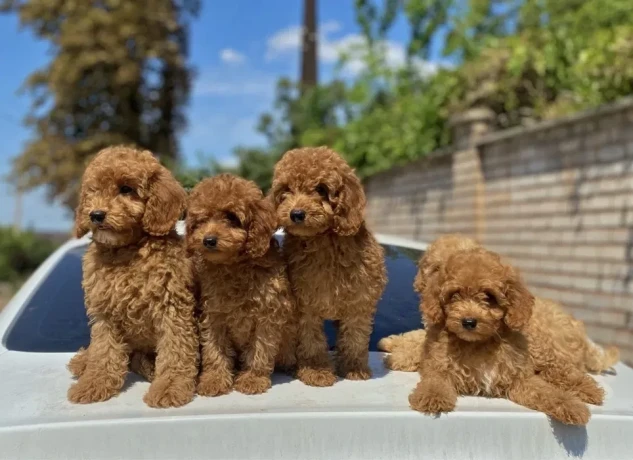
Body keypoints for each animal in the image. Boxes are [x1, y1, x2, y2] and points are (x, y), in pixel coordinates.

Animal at [67, 146, 198, 408]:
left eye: (126, 189)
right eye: (93, 191)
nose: (96, 214)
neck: (125, 250)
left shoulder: (172, 308)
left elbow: (175, 350)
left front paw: (169, 387)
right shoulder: (104, 313)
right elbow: (103, 351)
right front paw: (93, 383)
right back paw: (83, 361)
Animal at [186, 172, 298, 396]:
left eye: (231, 217)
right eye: (201, 220)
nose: (208, 240)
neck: (235, 265)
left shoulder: (268, 315)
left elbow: (259, 349)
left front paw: (253, 379)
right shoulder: (214, 315)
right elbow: (214, 349)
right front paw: (214, 379)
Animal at [270, 146, 388, 386]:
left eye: (321, 189)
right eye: (286, 190)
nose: (296, 214)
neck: (323, 240)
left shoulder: (359, 301)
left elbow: (355, 337)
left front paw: (353, 368)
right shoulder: (305, 303)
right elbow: (311, 339)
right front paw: (316, 371)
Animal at [400, 235, 604, 426]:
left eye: (489, 296)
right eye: (454, 295)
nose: (469, 321)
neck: (478, 343)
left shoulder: (519, 377)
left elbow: (546, 392)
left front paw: (570, 405)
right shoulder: (439, 364)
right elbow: (434, 380)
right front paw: (431, 397)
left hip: (542, 351)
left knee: (561, 370)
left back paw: (589, 390)